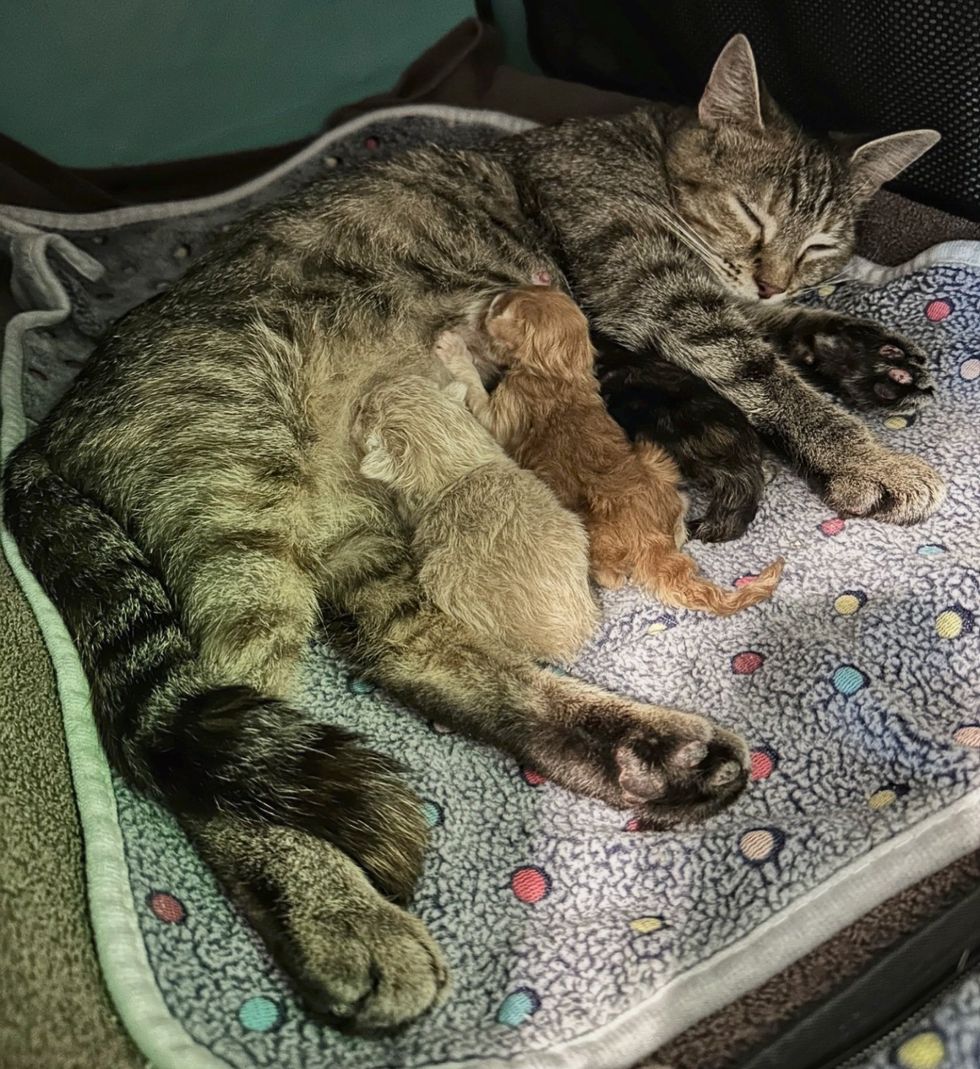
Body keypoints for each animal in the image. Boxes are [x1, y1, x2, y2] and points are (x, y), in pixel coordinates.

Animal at [436, 288, 778, 615]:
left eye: (497, 309)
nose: (488, 302)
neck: (560, 372)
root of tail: (652, 542)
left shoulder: (505, 412)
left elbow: (476, 392)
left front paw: (455, 349)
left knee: (615, 577)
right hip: (654, 458)